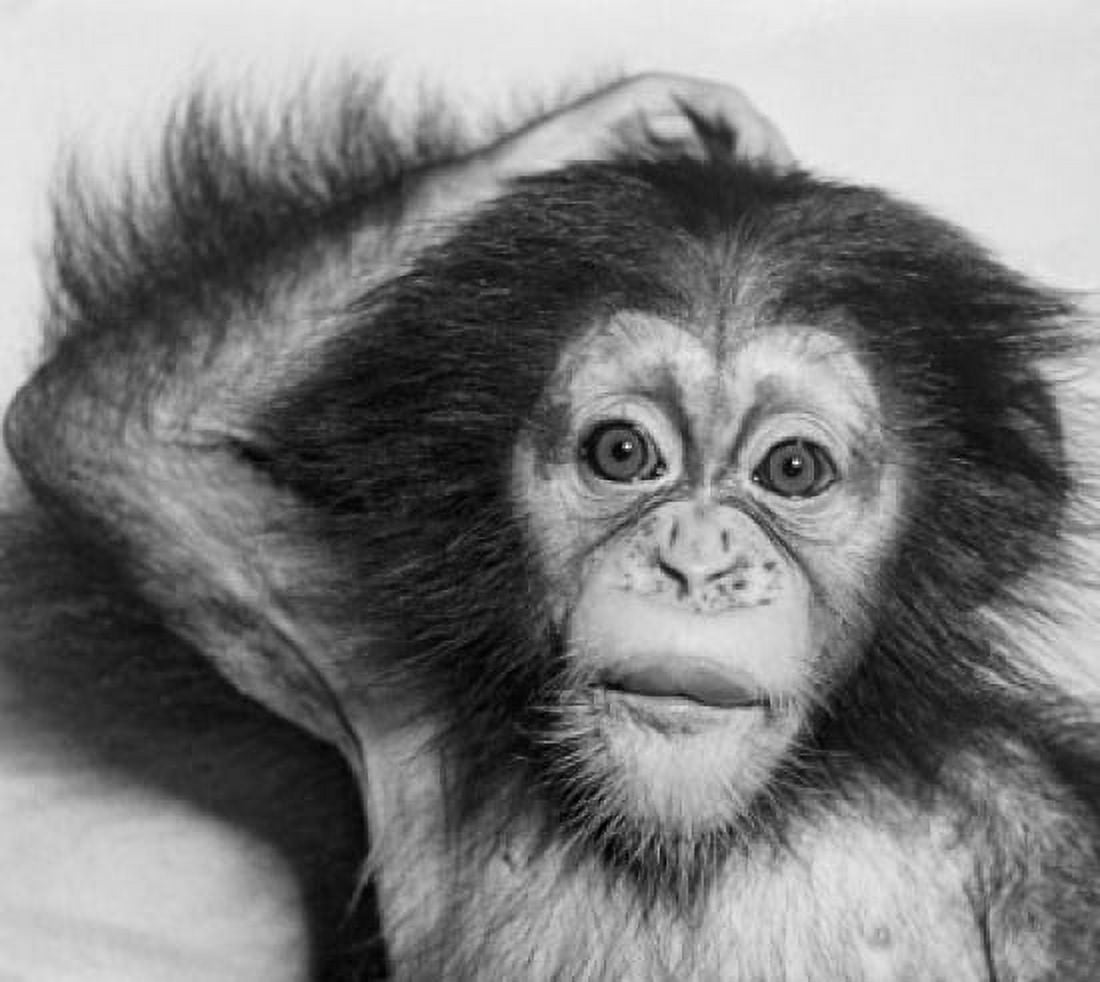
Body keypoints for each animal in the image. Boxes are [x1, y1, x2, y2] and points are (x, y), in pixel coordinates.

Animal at [1, 70, 1097, 980]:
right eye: (622, 453)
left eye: (792, 470)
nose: (697, 558)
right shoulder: (374, 674)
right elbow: (109, 446)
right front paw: (652, 117)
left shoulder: (1048, 845)